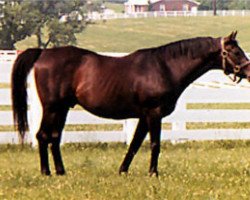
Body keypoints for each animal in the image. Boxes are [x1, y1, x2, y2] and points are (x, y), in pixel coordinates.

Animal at [12, 30, 250, 175]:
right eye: (234, 51)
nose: (248, 71)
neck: (165, 67)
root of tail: (43, 54)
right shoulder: (153, 114)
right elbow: (154, 144)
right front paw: (153, 173)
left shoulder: (144, 116)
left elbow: (135, 144)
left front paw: (123, 171)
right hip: (51, 108)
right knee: (42, 136)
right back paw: (47, 173)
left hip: (62, 109)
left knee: (54, 137)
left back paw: (61, 172)